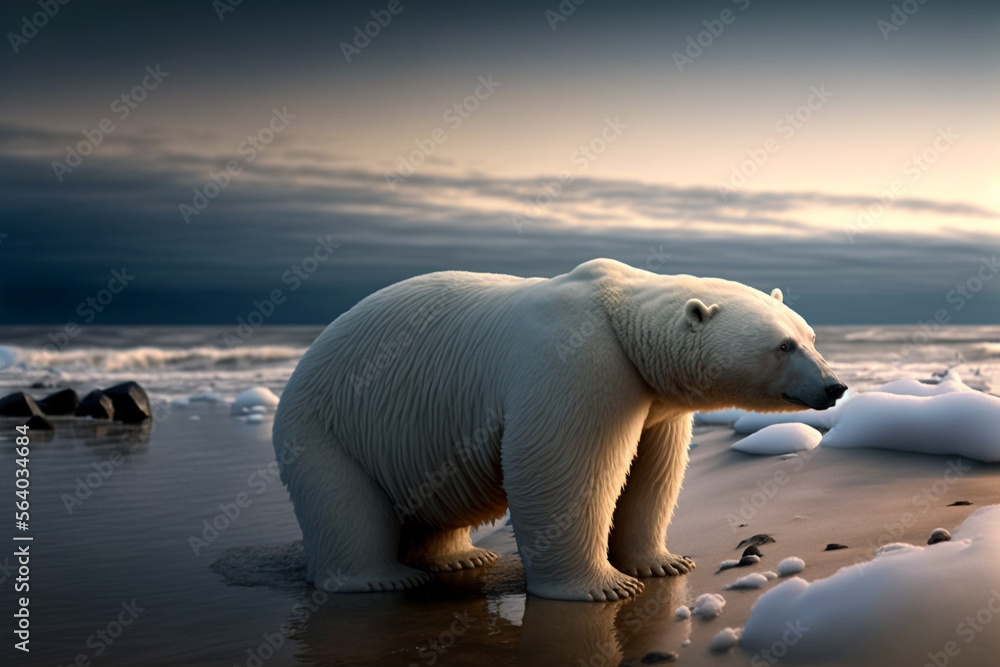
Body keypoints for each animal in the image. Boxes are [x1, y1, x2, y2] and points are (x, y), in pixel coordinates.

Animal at [272, 258, 846, 601]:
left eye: (810, 335)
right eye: (782, 346)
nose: (835, 386)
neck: (621, 319)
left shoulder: (653, 398)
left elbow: (652, 473)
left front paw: (662, 563)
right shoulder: (577, 363)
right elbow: (565, 470)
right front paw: (602, 587)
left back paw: (461, 555)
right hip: (327, 422)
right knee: (343, 503)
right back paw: (379, 576)